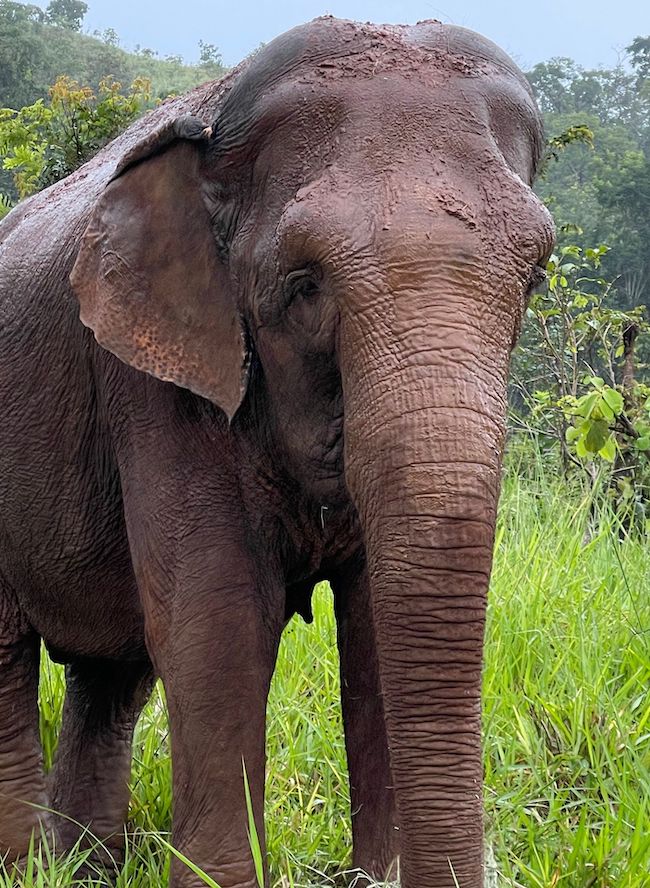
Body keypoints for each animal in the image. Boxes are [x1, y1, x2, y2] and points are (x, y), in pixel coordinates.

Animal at [0, 15, 554, 888]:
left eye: (535, 276)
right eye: (304, 285)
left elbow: (371, 628)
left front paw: (377, 877)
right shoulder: (156, 384)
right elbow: (219, 621)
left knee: (111, 673)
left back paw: (86, 868)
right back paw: (27, 868)